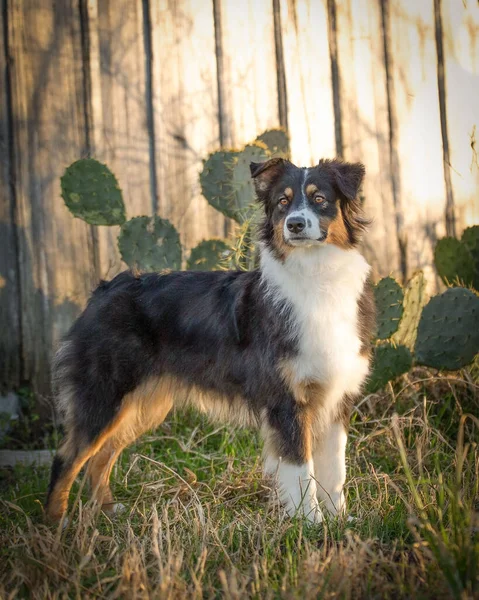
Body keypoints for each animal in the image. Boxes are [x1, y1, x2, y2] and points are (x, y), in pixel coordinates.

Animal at [44, 157, 376, 524]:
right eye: (282, 202)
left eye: (319, 199)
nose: (295, 224)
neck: (316, 276)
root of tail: (103, 289)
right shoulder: (286, 401)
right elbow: (301, 468)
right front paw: (310, 522)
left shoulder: (337, 398)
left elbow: (335, 468)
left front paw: (339, 520)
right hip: (103, 396)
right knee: (68, 457)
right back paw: (56, 524)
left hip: (144, 404)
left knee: (102, 455)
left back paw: (107, 511)